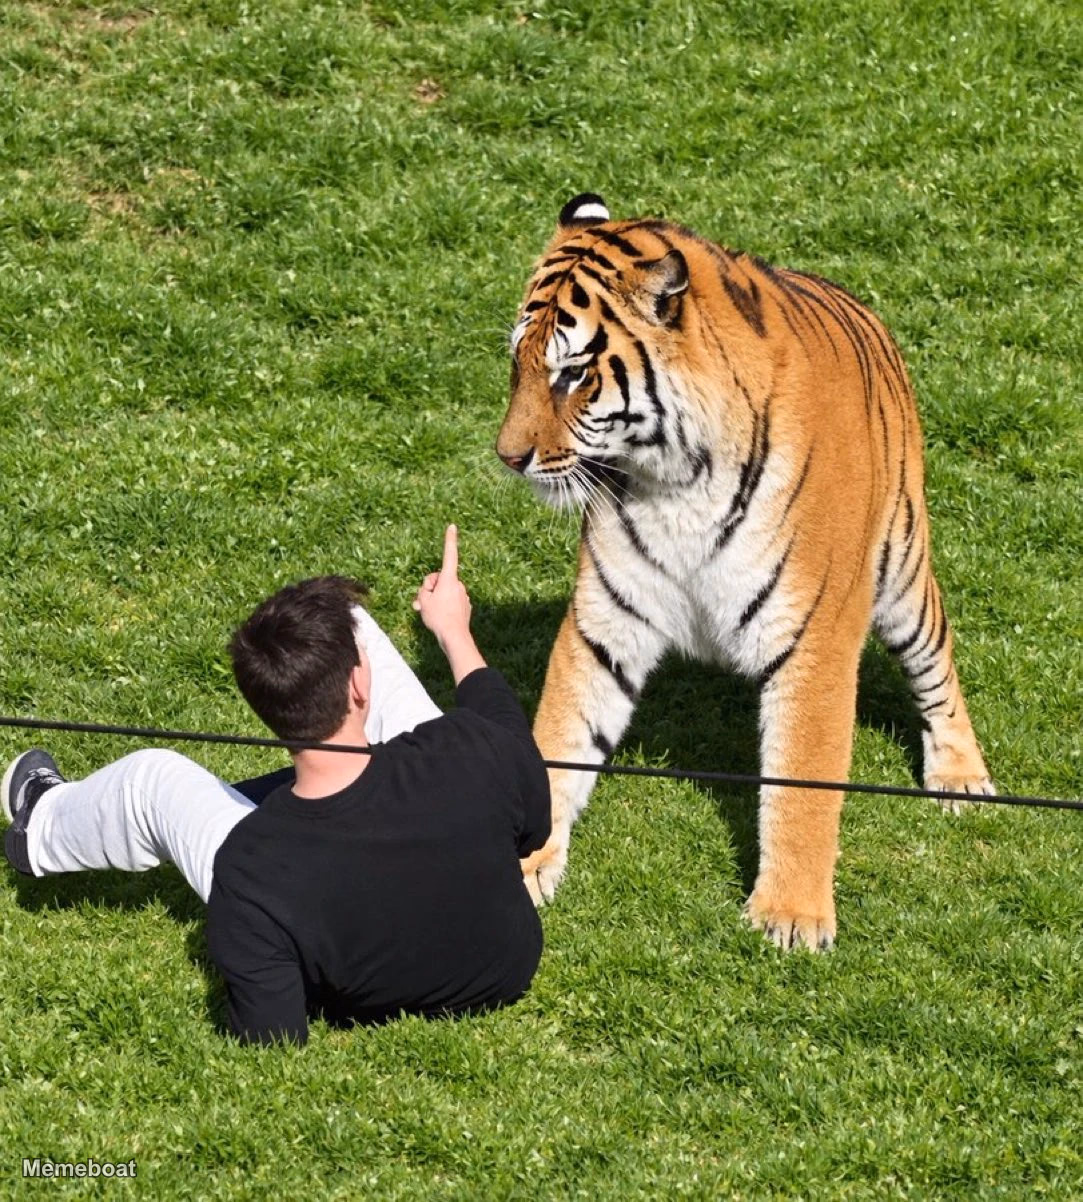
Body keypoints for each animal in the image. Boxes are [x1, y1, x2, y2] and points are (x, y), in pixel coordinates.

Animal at [496, 193, 994, 950]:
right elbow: (560, 737)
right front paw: (521, 868)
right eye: (518, 364)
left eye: (573, 374)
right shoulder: (604, 622)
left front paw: (789, 916)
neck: (674, 479)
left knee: (936, 665)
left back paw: (961, 777)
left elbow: (802, 779)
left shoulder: (814, 636)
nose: (507, 457)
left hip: (903, 568)